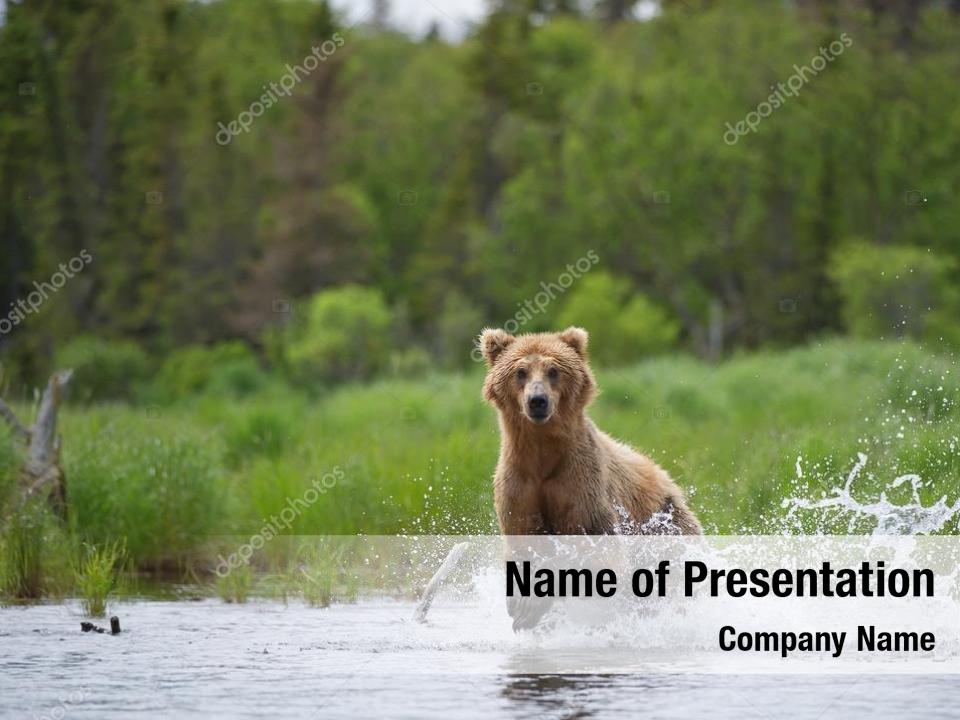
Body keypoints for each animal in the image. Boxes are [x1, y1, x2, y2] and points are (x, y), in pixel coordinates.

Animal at [478, 326, 696, 536]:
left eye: (553, 370)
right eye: (521, 372)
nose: (537, 401)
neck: (543, 448)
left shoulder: (582, 484)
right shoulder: (518, 487)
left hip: (666, 515)